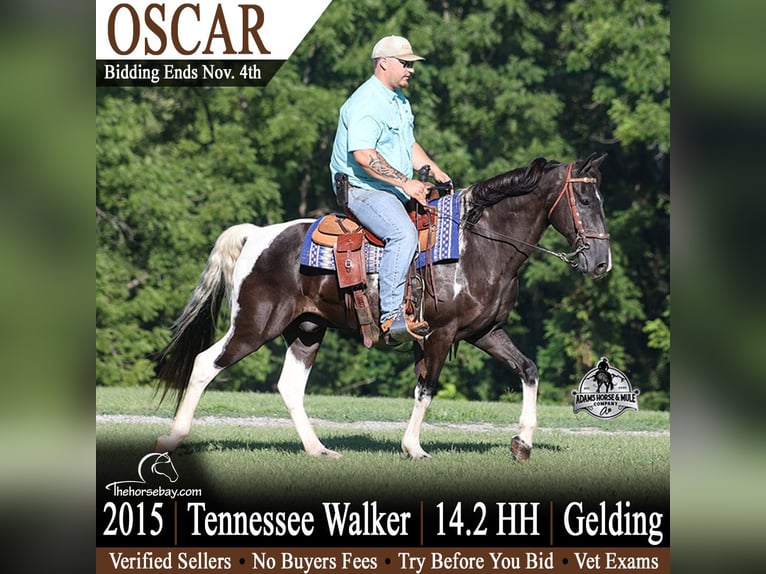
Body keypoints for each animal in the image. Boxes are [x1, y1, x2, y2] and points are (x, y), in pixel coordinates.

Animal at [153, 153, 612, 462]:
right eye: (585, 200)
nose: (601, 263)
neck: (477, 245)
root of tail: (258, 235)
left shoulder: (486, 332)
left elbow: (528, 370)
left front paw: (523, 443)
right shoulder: (440, 333)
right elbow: (426, 388)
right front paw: (413, 447)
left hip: (306, 331)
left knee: (289, 386)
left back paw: (318, 449)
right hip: (253, 325)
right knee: (204, 363)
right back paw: (173, 437)